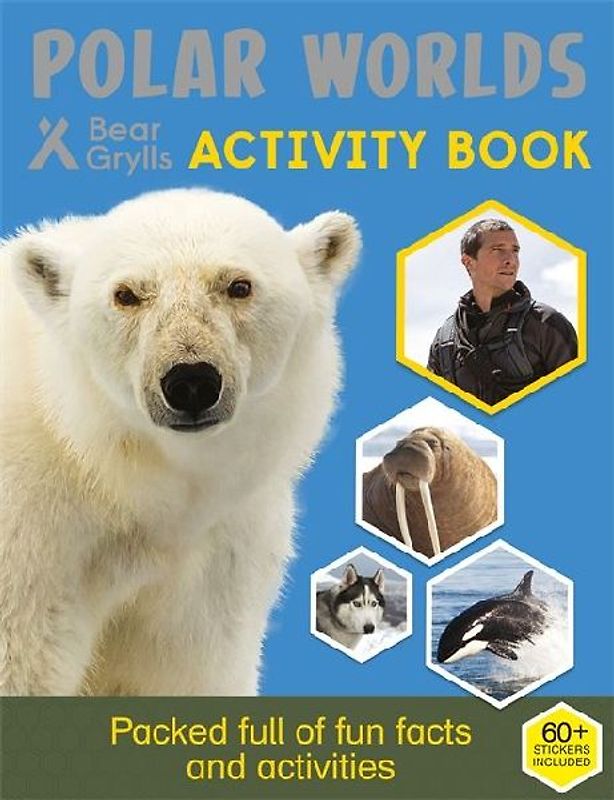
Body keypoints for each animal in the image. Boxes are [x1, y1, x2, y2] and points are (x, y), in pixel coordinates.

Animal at [0, 188, 360, 696]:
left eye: (239, 286)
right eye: (126, 294)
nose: (191, 382)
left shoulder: (217, 559)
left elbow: (181, 668)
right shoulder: (31, 545)